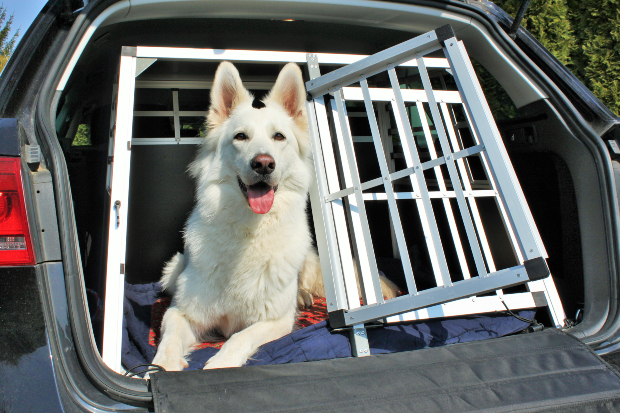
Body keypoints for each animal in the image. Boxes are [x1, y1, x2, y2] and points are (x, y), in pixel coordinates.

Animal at [150, 61, 392, 370]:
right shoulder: (182, 311)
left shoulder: (276, 320)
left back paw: (303, 296)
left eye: (279, 137)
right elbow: (169, 339)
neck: (250, 234)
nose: (264, 164)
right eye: (241, 136)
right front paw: (160, 367)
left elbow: (239, 337)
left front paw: (220, 365)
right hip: (173, 267)